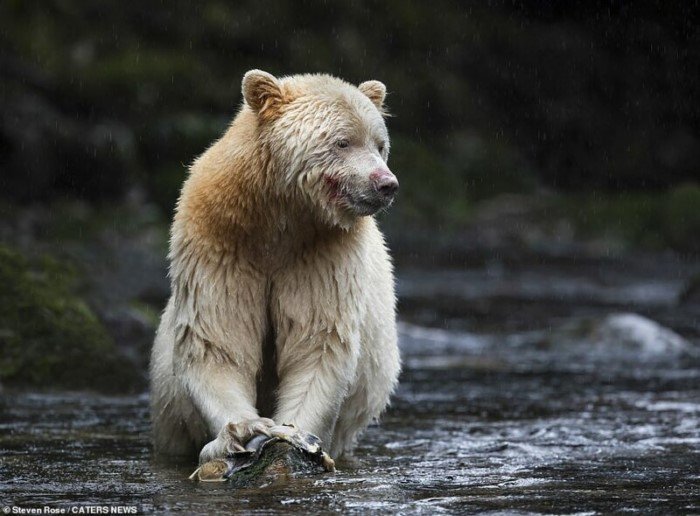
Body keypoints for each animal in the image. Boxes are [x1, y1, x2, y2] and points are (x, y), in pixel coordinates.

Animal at [150, 70, 402, 462]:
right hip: (168, 402)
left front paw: (297, 435)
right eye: (343, 142)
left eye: (379, 144)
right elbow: (216, 337)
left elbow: (319, 340)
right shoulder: (218, 240)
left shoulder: (323, 252)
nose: (386, 183)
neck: (279, 212)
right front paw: (243, 430)